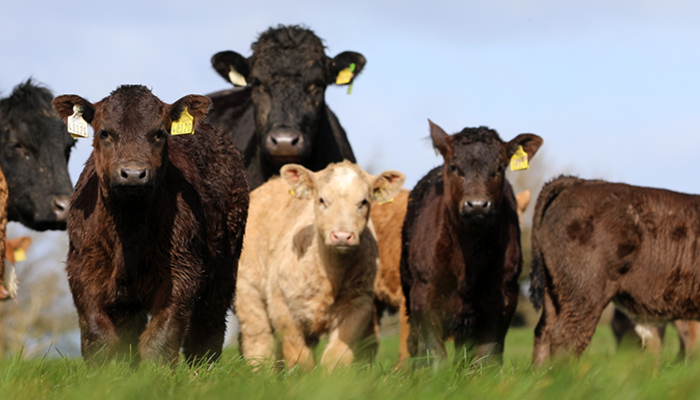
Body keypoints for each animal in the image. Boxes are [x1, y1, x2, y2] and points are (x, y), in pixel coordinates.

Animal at [52, 85, 249, 366]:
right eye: (104, 132)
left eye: (159, 133)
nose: (133, 174)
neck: (129, 229)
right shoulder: (82, 270)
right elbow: (99, 337)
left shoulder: (183, 273)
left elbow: (160, 340)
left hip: (224, 270)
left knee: (206, 334)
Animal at [235, 160, 404, 370]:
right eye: (322, 200)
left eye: (364, 202)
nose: (342, 236)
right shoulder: (283, 305)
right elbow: (299, 359)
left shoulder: (358, 305)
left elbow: (336, 358)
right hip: (248, 290)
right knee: (258, 339)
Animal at [400, 121, 542, 367]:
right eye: (454, 166)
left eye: (500, 168)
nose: (477, 205)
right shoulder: (423, 293)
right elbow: (434, 353)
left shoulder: (504, 295)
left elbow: (487, 355)